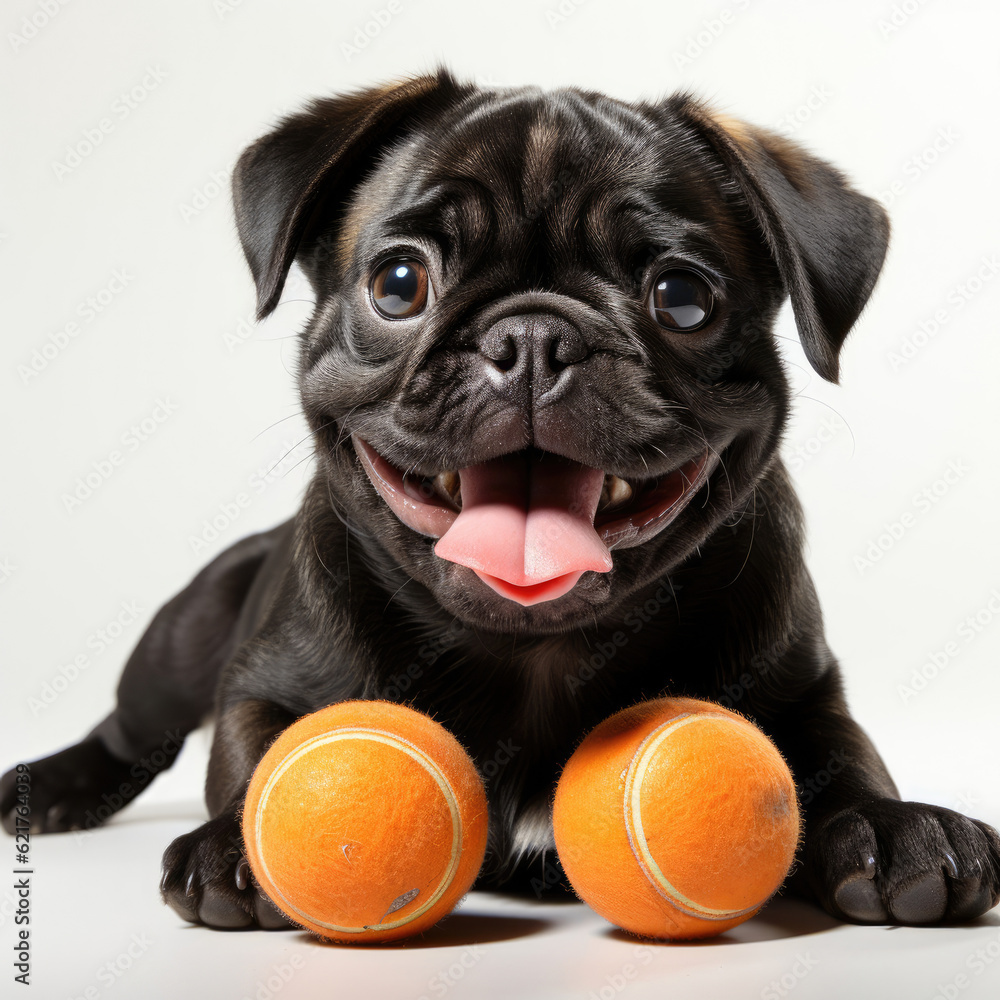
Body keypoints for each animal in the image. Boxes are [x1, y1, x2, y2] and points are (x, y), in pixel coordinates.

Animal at [3, 70, 996, 928]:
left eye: (682, 298)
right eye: (399, 283)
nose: (533, 337)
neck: (536, 650)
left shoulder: (805, 688)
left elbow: (844, 755)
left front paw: (891, 829)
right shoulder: (263, 681)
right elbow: (250, 750)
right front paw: (234, 847)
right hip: (183, 632)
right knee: (130, 728)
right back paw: (49, 787)